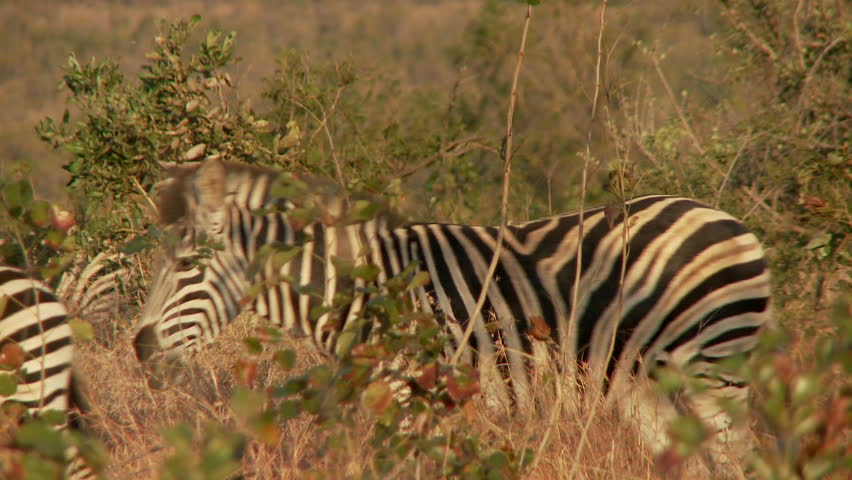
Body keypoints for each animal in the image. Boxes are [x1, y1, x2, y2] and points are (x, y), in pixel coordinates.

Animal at [133, 158, 771, 460]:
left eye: (187, 266)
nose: (139, 349)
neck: (363, 289)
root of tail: (729, 220)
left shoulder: (414, 397)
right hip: (648, 388)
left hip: (716, 372)